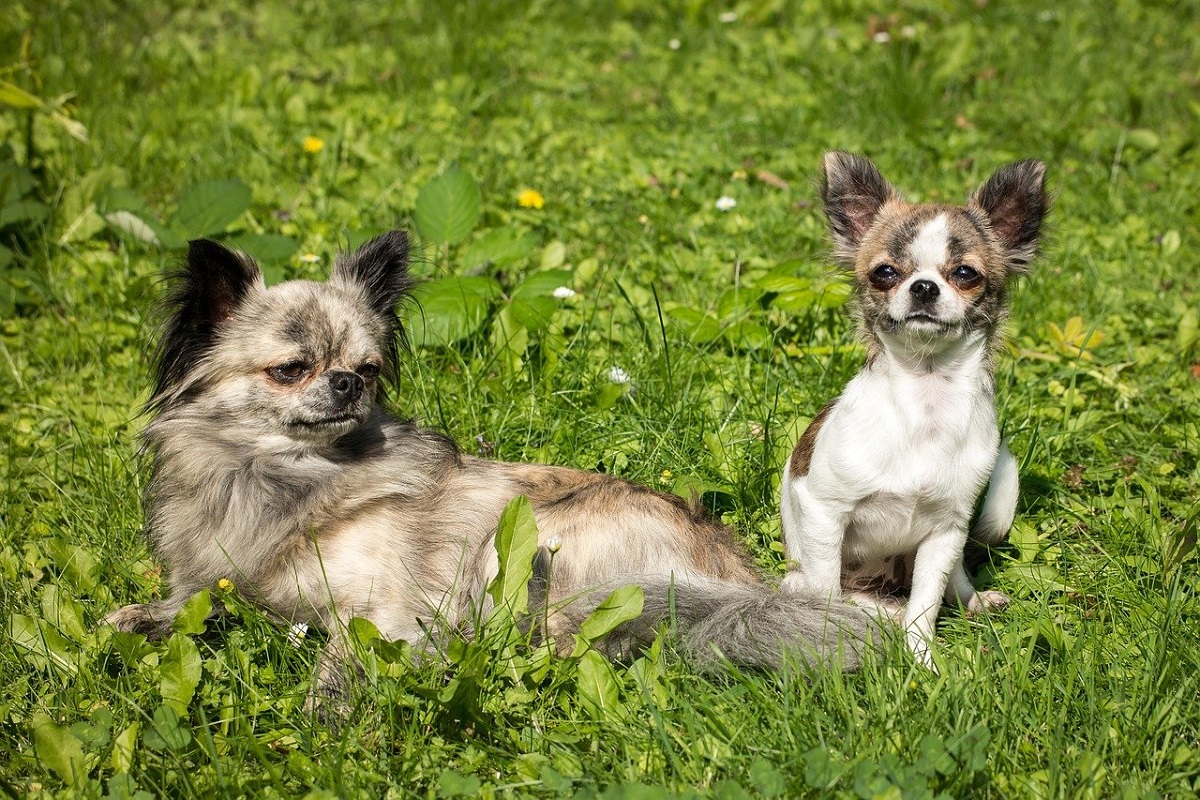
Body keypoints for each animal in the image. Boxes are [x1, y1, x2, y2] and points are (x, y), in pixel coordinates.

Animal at [108, 227, 878, 690]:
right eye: (291, 370)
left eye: (369, 368)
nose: (348, 382)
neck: (284, 478)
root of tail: (734, 578)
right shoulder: (223, 574)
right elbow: (196, 598)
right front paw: (143, 617)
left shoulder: (386, 609)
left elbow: (341, 656)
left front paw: (325, 714)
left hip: (526, 547)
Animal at [782, 153, 1046, 666]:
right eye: (885, 273)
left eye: (965, 274)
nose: (924, 287)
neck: (925, 398)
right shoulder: (823, 510)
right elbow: (825, 592)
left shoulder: (945, 532)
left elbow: (925, 603)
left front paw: (923, 662)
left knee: (948, 586)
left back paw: (974, 602)